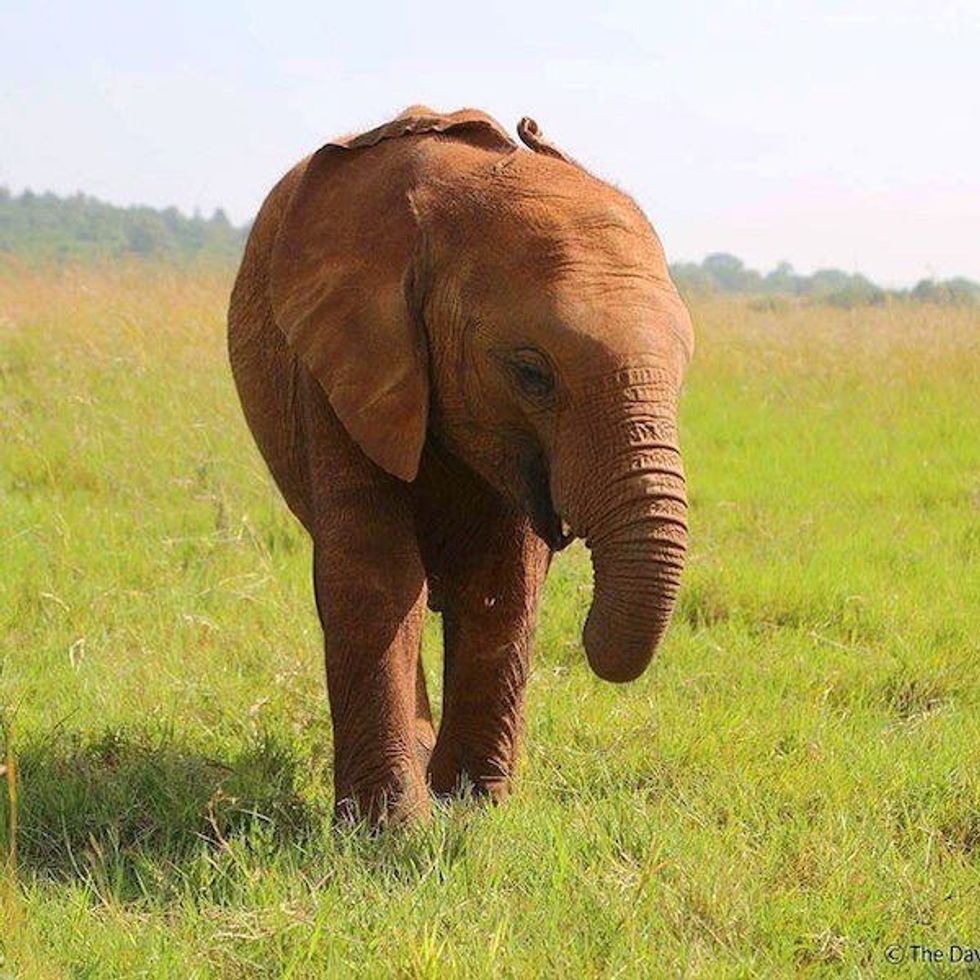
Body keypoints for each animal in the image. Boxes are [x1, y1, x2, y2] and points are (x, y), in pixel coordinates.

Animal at [227, 106, 693, 825]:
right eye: (532, 373)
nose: (532, 128)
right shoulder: (345, 359)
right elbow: (376, 573)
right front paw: (390, 828)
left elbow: (502, 581)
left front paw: (473, 811)